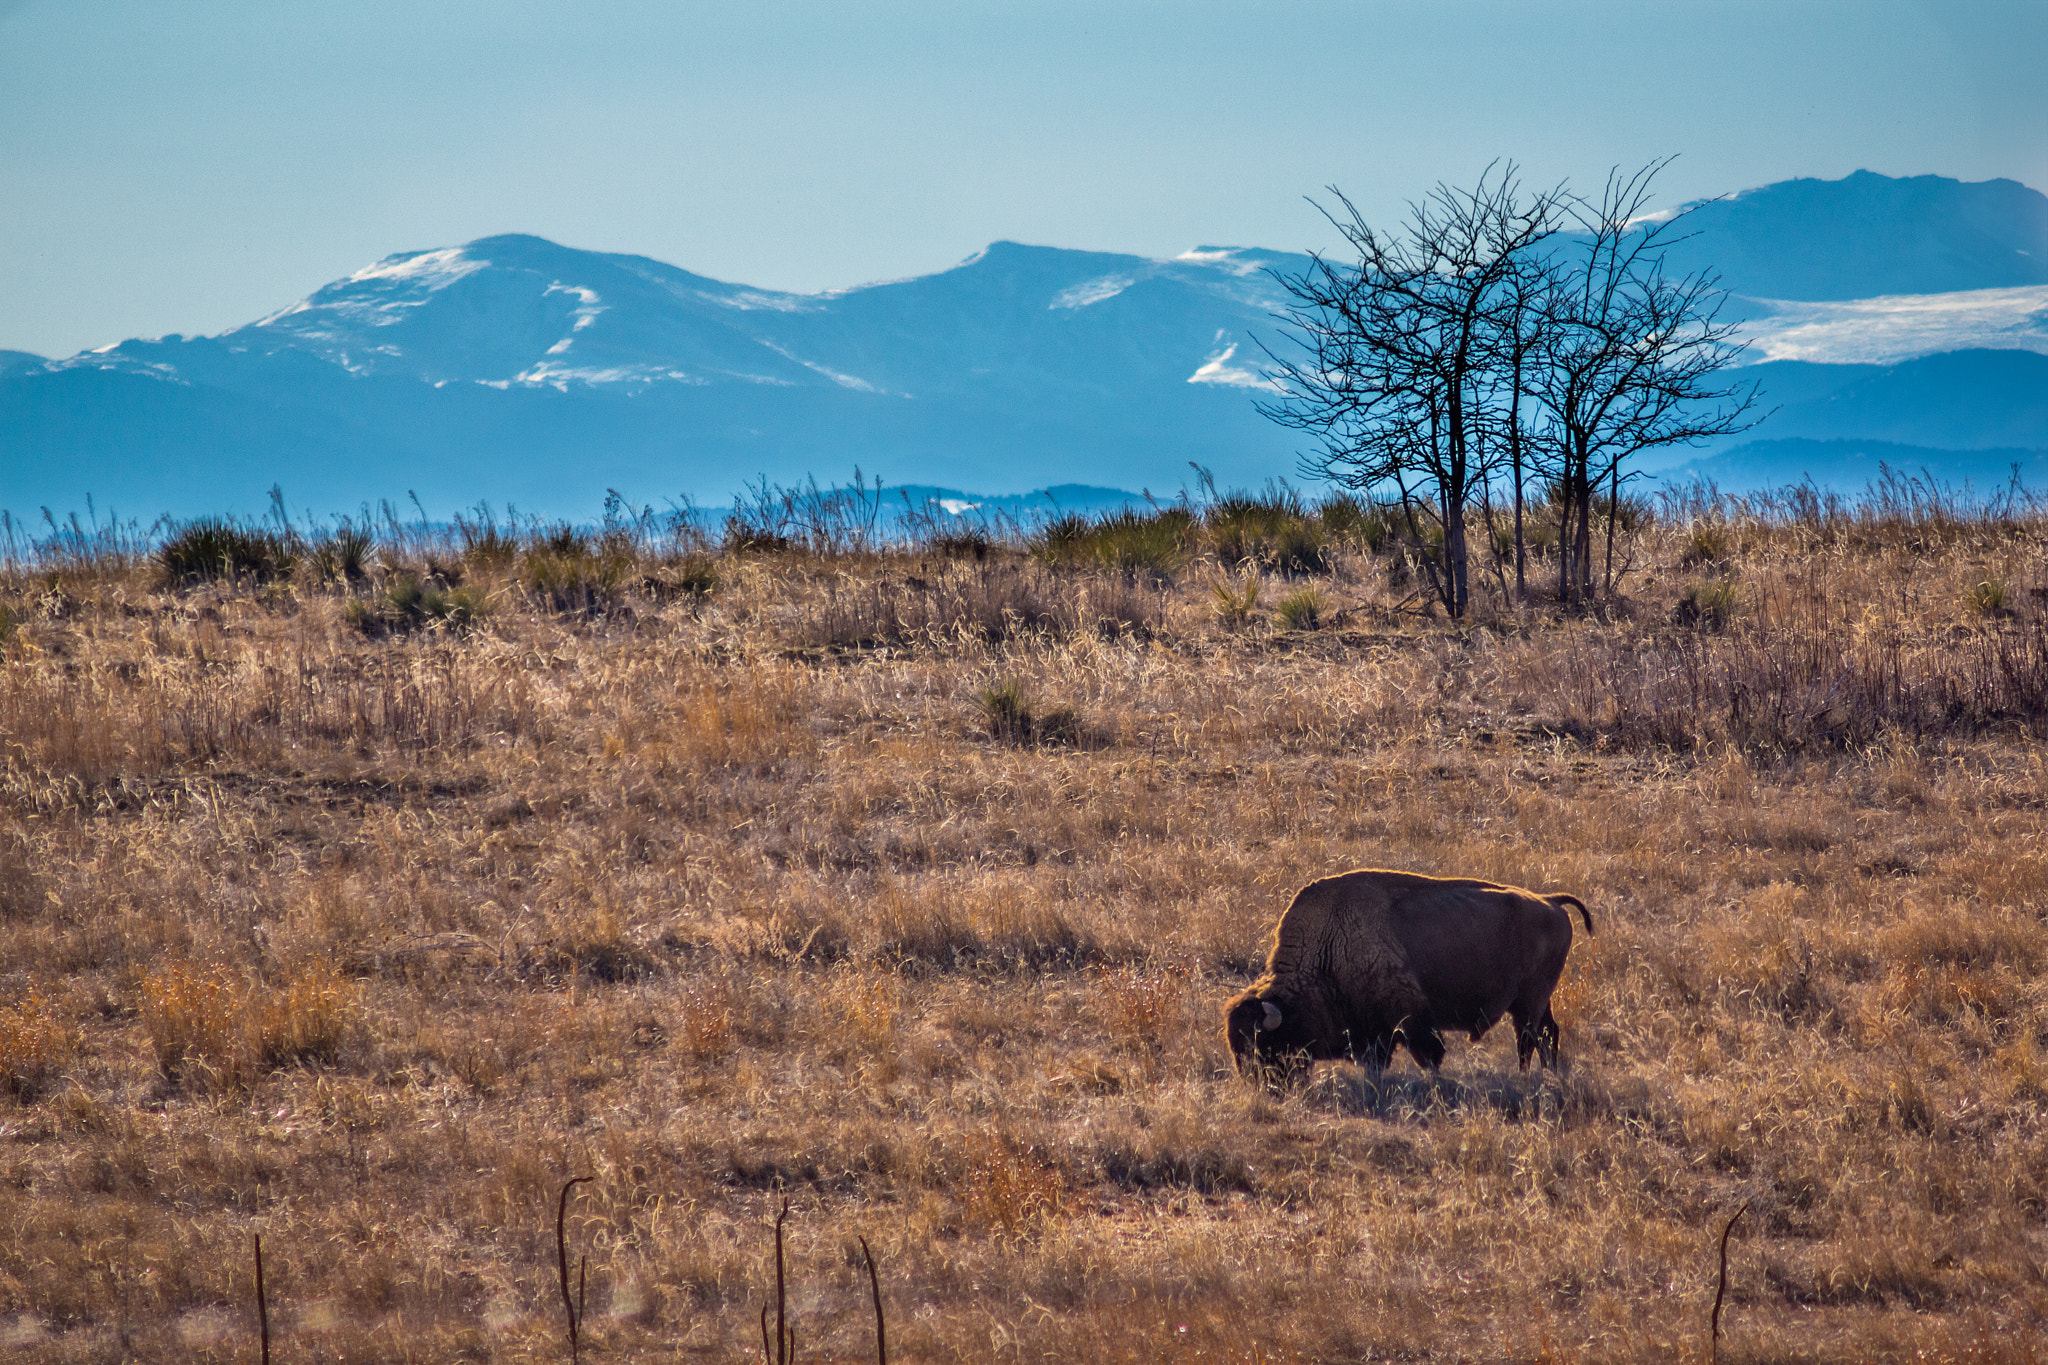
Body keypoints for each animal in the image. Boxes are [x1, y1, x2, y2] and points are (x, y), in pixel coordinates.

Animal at [1224, 869, 1592, 1081]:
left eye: (1264, 1043)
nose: (1261, 1085)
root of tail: (1549, 901)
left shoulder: (1408, 1018)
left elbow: (1426, 1053)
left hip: (1530, 1001)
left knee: (1529, 1039)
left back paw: (1525, 1076)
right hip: (1537, 1001)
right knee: (1547, 1034)